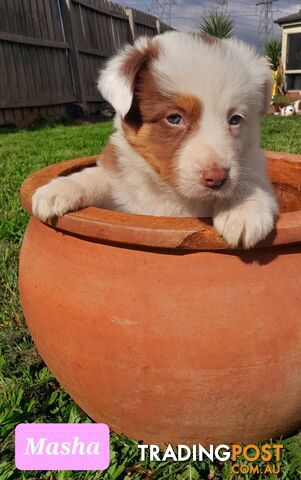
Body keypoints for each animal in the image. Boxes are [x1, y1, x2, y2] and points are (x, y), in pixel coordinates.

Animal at [32, 31, 276, 248]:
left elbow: (251, 179)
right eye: (174, 118)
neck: (170, 192)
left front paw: (242, 209)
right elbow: (99, 176)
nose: (217, 178)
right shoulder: (122, 182)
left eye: (235, 119)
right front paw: (58, 189)